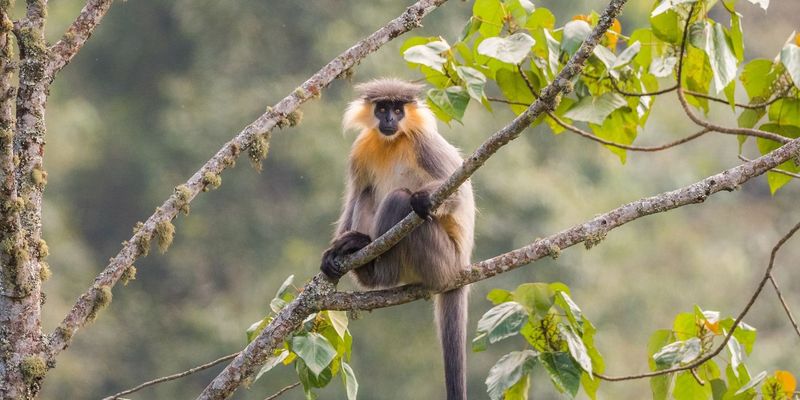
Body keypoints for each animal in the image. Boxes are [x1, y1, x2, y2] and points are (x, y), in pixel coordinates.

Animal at [320, 78, 476, 400]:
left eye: (397, 109)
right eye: (382, 109)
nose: (390, 119)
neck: (392, 141)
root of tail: (459, 268)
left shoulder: (425, 142)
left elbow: (458, 193)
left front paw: (425, 198)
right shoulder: (361, 149)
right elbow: (355, 194)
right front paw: (333, 252)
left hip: (439, 258)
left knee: (399, 199)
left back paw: (377, 268)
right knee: (367, 193)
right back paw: (357, 252)